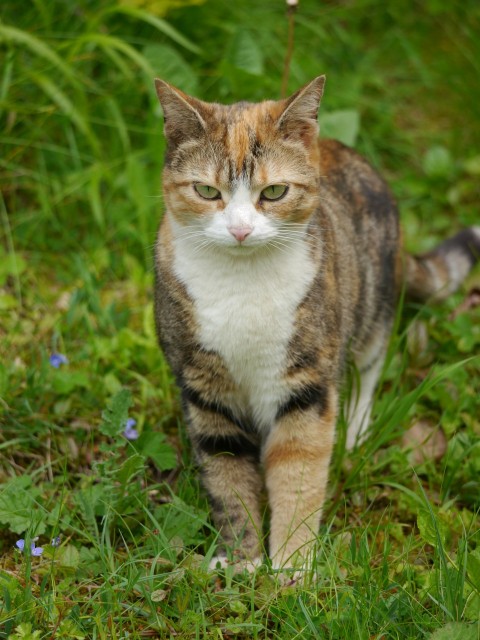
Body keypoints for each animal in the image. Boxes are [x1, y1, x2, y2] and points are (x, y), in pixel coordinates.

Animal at [153, 76, 480, 576]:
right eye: (207, 191)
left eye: (273, 192)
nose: (241, 230)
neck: (241, 286)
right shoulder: (204, 388)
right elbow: (227, 475)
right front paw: (242, 561)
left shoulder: (306, 383)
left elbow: (298, 468)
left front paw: (292, 566)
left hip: (371, 309)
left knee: (368, 367)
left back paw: (357, 428)